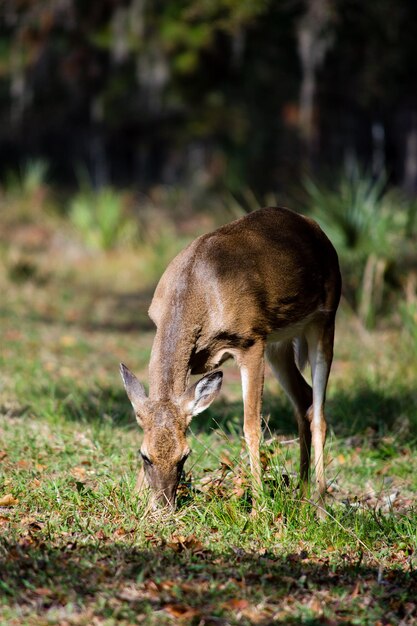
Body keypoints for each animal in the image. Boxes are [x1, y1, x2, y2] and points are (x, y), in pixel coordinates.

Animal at [118, 207, 340, 510]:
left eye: (185, 455)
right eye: (144, 456)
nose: (163, 505)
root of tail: (317, 229)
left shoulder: (251, 340)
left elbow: (251, 427)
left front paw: (259, 508)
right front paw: (138, 499)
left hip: (325, 316)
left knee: (319, 414)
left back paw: (319, 505)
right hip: (280, 342)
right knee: (304, 399)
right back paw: (302, 494)